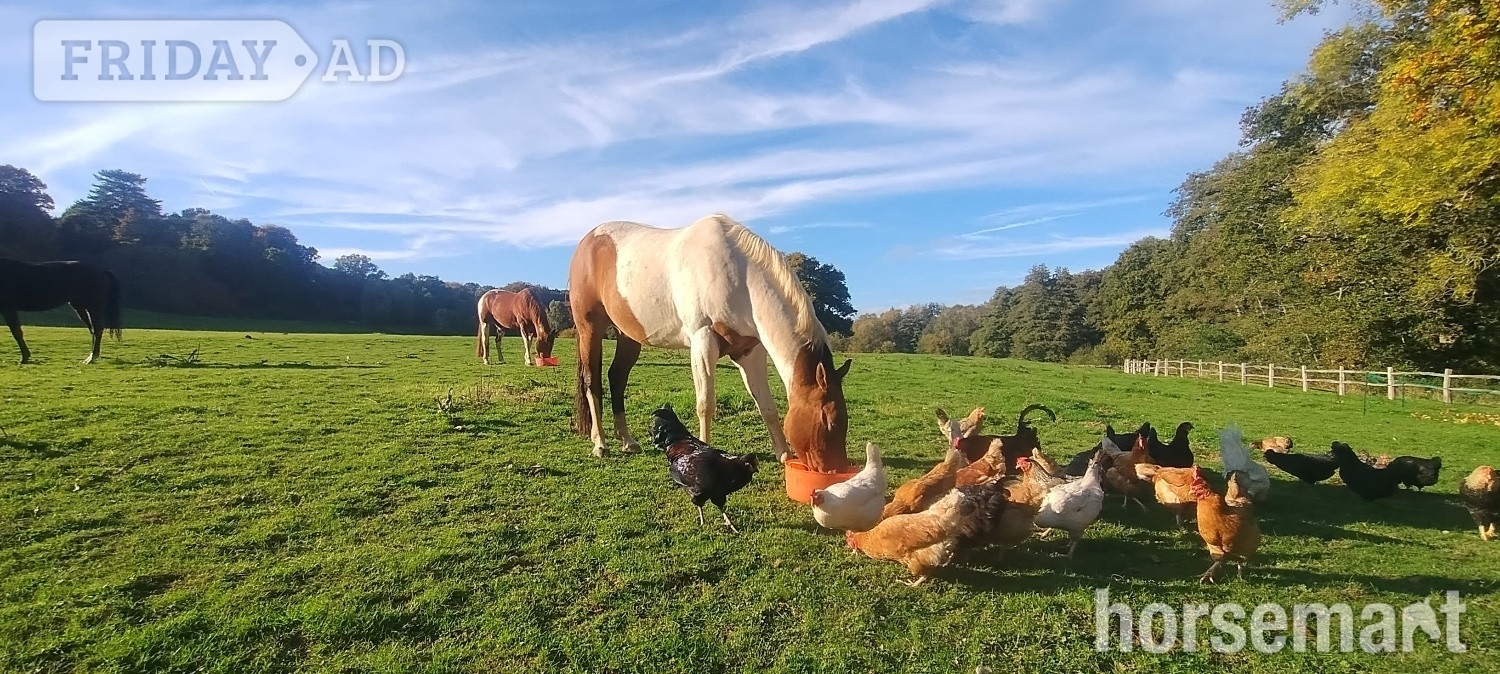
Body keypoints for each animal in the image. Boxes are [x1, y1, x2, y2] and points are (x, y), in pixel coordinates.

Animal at [568, 214, 853, 471]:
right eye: (826, 417)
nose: (833, 470)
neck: (739, 275)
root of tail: (587, 242)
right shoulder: (703, 342)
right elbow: (706, 404)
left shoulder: (750, 351)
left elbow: (767, 406)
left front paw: (783, 454)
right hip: (589, 329)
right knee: (591, 381)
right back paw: (600, 444)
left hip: (627, 336)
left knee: (617, 378)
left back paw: (628, 441)